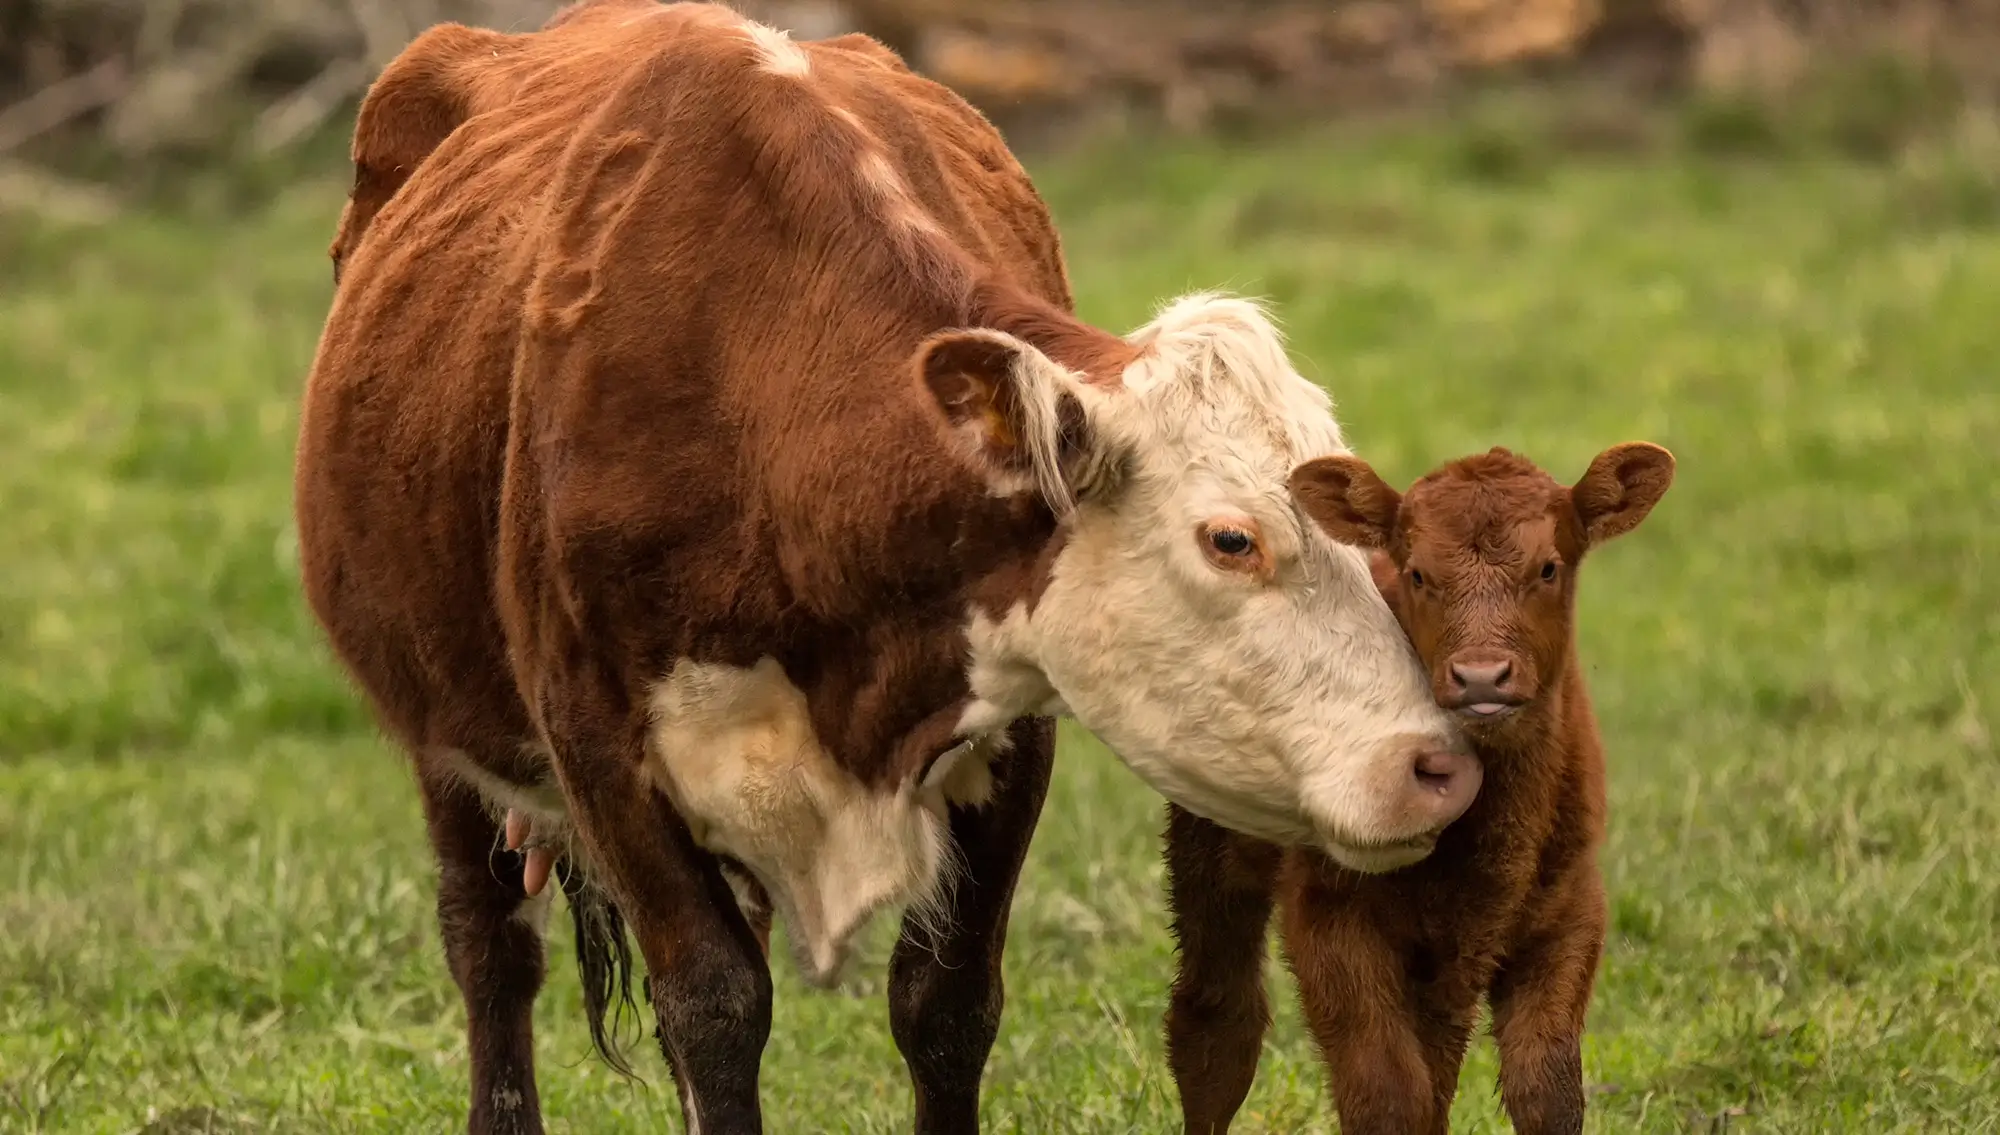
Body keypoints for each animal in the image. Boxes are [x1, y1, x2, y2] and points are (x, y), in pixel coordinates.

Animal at [292, 2, 1478, 1132]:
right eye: (1231, 538)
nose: (1439, 765)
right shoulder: (597, 745)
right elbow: (713, 1005)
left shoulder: (1011, 724)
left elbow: (943, 1003)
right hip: (444, 733)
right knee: (490, 943)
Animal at [1161, 442, 1676, 1135]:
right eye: (1419, 575)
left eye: (1549, 568)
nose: (1481, 675)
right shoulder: (1330, 914)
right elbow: (1387, 1094)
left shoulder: (1569, 910)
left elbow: (1547, 1089)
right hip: (1211, 844)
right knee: (1217, 1025)